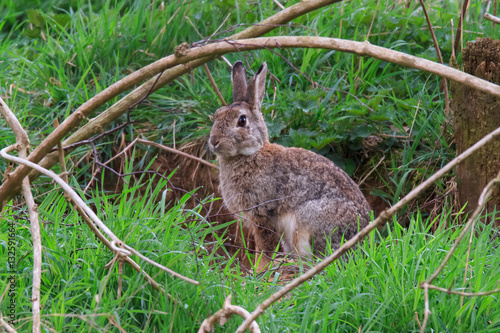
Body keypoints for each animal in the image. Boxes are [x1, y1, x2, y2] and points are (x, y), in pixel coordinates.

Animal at [208, 61, 372, 260]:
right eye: (216, 115)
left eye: (242, 120)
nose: (214, 141)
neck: (251, 153)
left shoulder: (263, 213)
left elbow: (265, 248)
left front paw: (259, 266)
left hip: (309, 221)